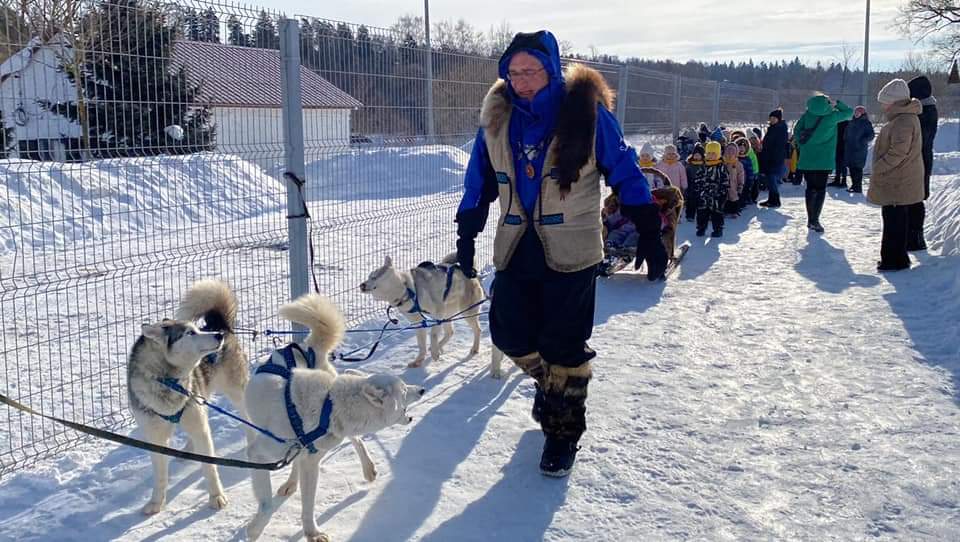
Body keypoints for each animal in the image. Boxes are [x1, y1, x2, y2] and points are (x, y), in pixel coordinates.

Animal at [125, 282, 249, 516]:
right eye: (190, 333)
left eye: (197, 329)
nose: (217, 335)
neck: (167, 381)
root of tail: (220, 322)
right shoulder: (155, 436)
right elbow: (160, 475)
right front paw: (156, 502)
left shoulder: (197, 420)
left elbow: (210, 467)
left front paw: (216, 497)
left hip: (235, 392)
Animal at [244, 296, 424, 540]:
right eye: (405, 390)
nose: (422, 390)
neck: (327, 406)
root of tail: (309, 346)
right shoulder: (259, 455)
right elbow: (268, 504)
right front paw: (256, 530)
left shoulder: (311, 462)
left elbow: (308, 505)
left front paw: (311, 533)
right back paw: (291, 483)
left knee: (355, 440)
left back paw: (367, 469)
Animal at [360, 255, 506, 378]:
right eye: (369, 276)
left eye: (374, 276)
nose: (361, 285)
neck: (407, 290)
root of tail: (471, 272)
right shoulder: (418, 322)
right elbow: (421, 344)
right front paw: (419, 360)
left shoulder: (437, 313)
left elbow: (433, 334)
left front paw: (434, 353)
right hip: (447, 314)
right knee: (450, 332)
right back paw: (439, 347)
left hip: (465, 313)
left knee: (477, 330)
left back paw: (472, 348)